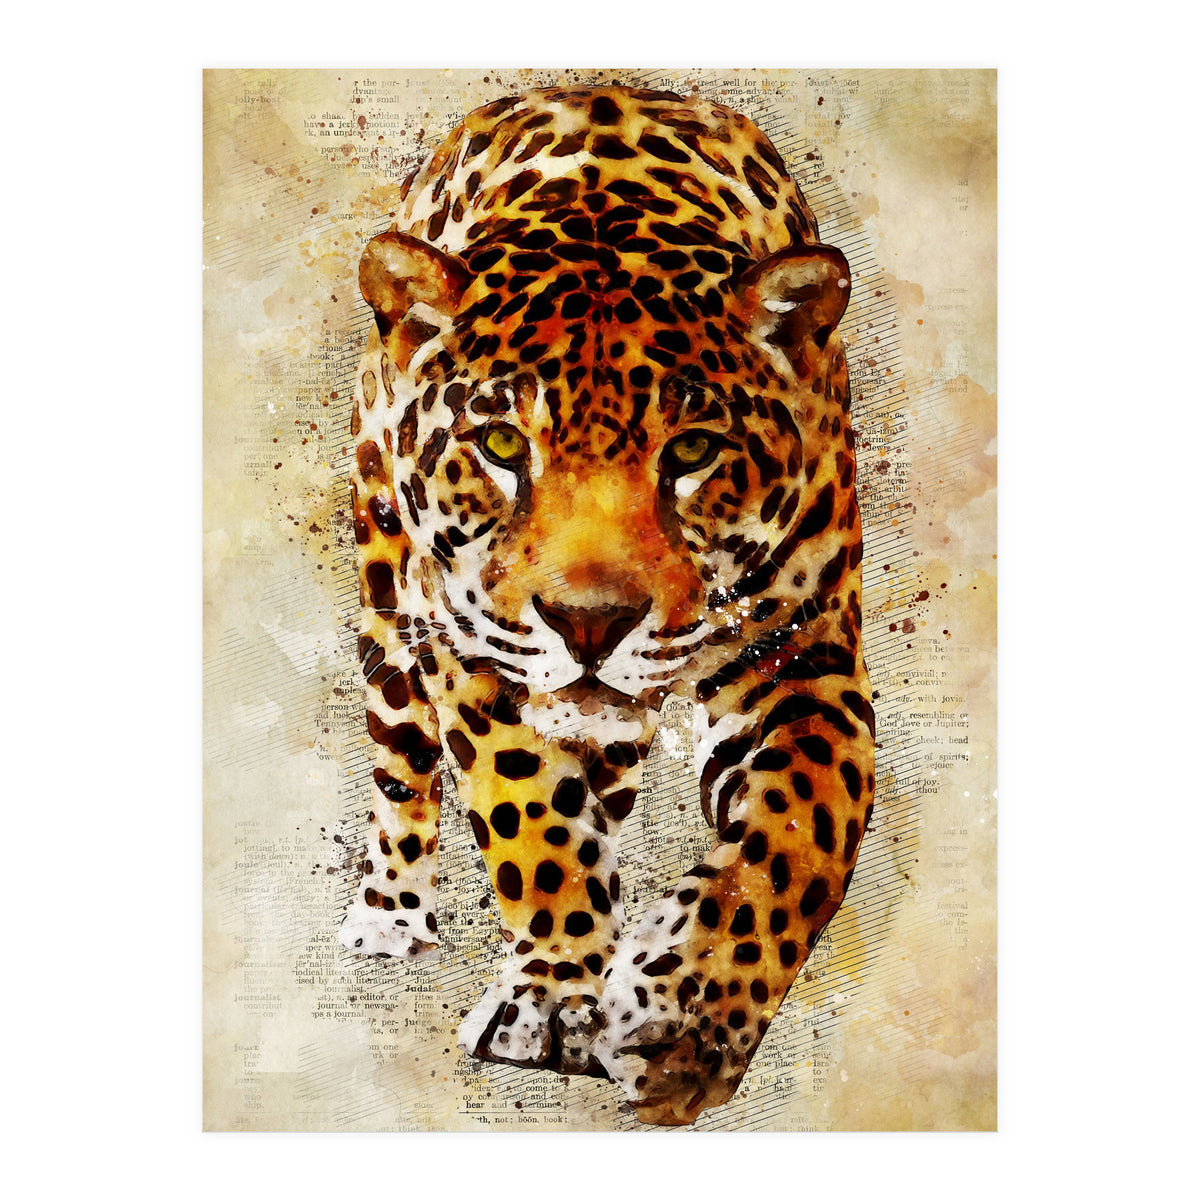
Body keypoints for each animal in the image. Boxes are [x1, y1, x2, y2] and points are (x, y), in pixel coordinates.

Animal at [338, 84, 875, 1126]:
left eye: (694, 450)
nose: (590, 623)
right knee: (401, 762)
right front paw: (555, 997)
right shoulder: (475, 649)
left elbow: (803, 831)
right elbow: (528, 812)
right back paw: (390, 914)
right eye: (502, 445)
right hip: (389, 599)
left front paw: (683, 1020)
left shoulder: (806, 655)